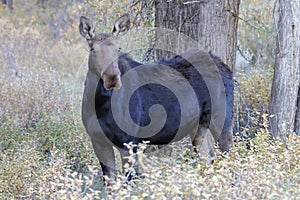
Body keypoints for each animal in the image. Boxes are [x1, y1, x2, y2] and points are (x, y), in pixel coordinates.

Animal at [78, 13, 233, 184]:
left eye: (118, 49)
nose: (112, 78)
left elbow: (129, 180)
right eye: (92, 49)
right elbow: (110, 183)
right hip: (198, 125)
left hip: (221, 117)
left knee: (226, 152)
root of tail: (224, 65)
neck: (100, 104)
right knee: (207, 157)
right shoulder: (98, 141)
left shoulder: (128, 142)